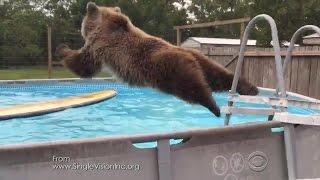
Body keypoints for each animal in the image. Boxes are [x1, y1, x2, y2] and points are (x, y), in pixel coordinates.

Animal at [55, 2, 258, 117]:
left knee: (193, 88)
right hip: (202, 61)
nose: (88, 5)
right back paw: (249, 88)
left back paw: (214, 107)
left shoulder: (100, 46)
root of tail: (189, 54)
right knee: (218, 76)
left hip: (167, 69)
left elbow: (83, 64)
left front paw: (62, 49)